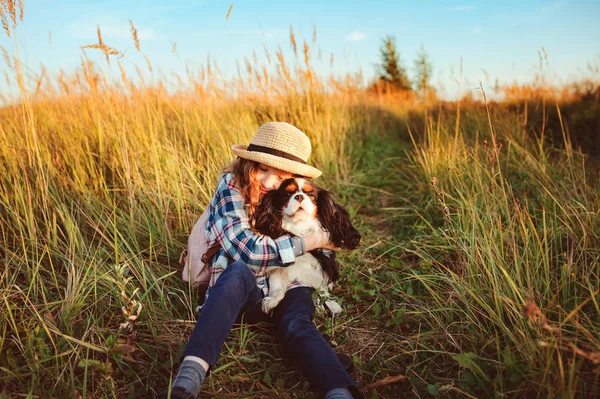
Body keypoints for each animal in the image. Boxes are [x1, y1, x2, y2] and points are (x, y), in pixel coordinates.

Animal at [254, 179, 360, 316]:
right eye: (287, 195)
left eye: (311, 195)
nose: (299, 196)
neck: (299, 226)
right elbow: (275, 280)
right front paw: (273, 299)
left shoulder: (323, 263)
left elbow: (322, 287)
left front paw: (331, 306)